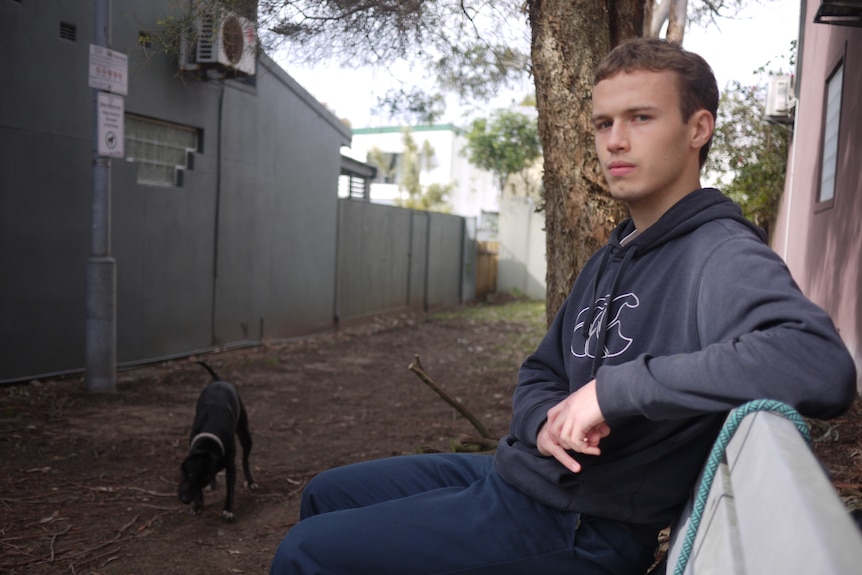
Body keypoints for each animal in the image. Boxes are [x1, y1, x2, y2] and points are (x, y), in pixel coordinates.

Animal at [176, 364, 256, 520]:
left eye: (202, 481)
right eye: (188, 475)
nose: (185, 499)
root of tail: (219, 380)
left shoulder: (230, 466)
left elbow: (230, 488)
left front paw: (228, 510)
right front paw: (197, 506)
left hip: (245, 435)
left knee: (245, 459)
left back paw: (250, 482)